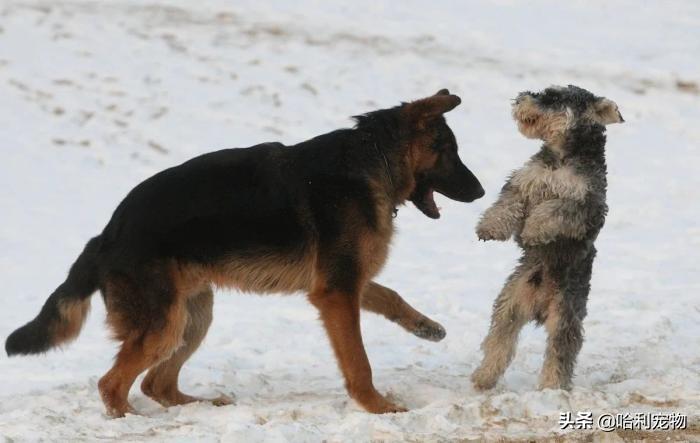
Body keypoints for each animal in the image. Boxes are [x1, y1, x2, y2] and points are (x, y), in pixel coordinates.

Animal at [5, 89, 484, 416]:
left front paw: (425, 327)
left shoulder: (339, 283)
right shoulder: (336, 292)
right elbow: (359, 362)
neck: (374, 160)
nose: (481, 192)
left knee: (157, 384)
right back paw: (130, 419)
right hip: (165, 324)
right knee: (112, 384)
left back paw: (198, 405)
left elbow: (390, 296)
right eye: (450, 152)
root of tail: (106, 233)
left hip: (192, 318)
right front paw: (377, 407)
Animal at [470, 86, 624, 392]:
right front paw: (490, 227)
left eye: (555, 98)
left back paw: (551, 389)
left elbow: (553, 210)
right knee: (499, 343)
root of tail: (538, 306)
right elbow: (504, 207)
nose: (520, 98)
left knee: (559, 355)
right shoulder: (521, 186)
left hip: (565, 317)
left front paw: (533, 229)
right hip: (508, 305)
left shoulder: (584, 206)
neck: (560, 157)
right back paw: (483, 378)